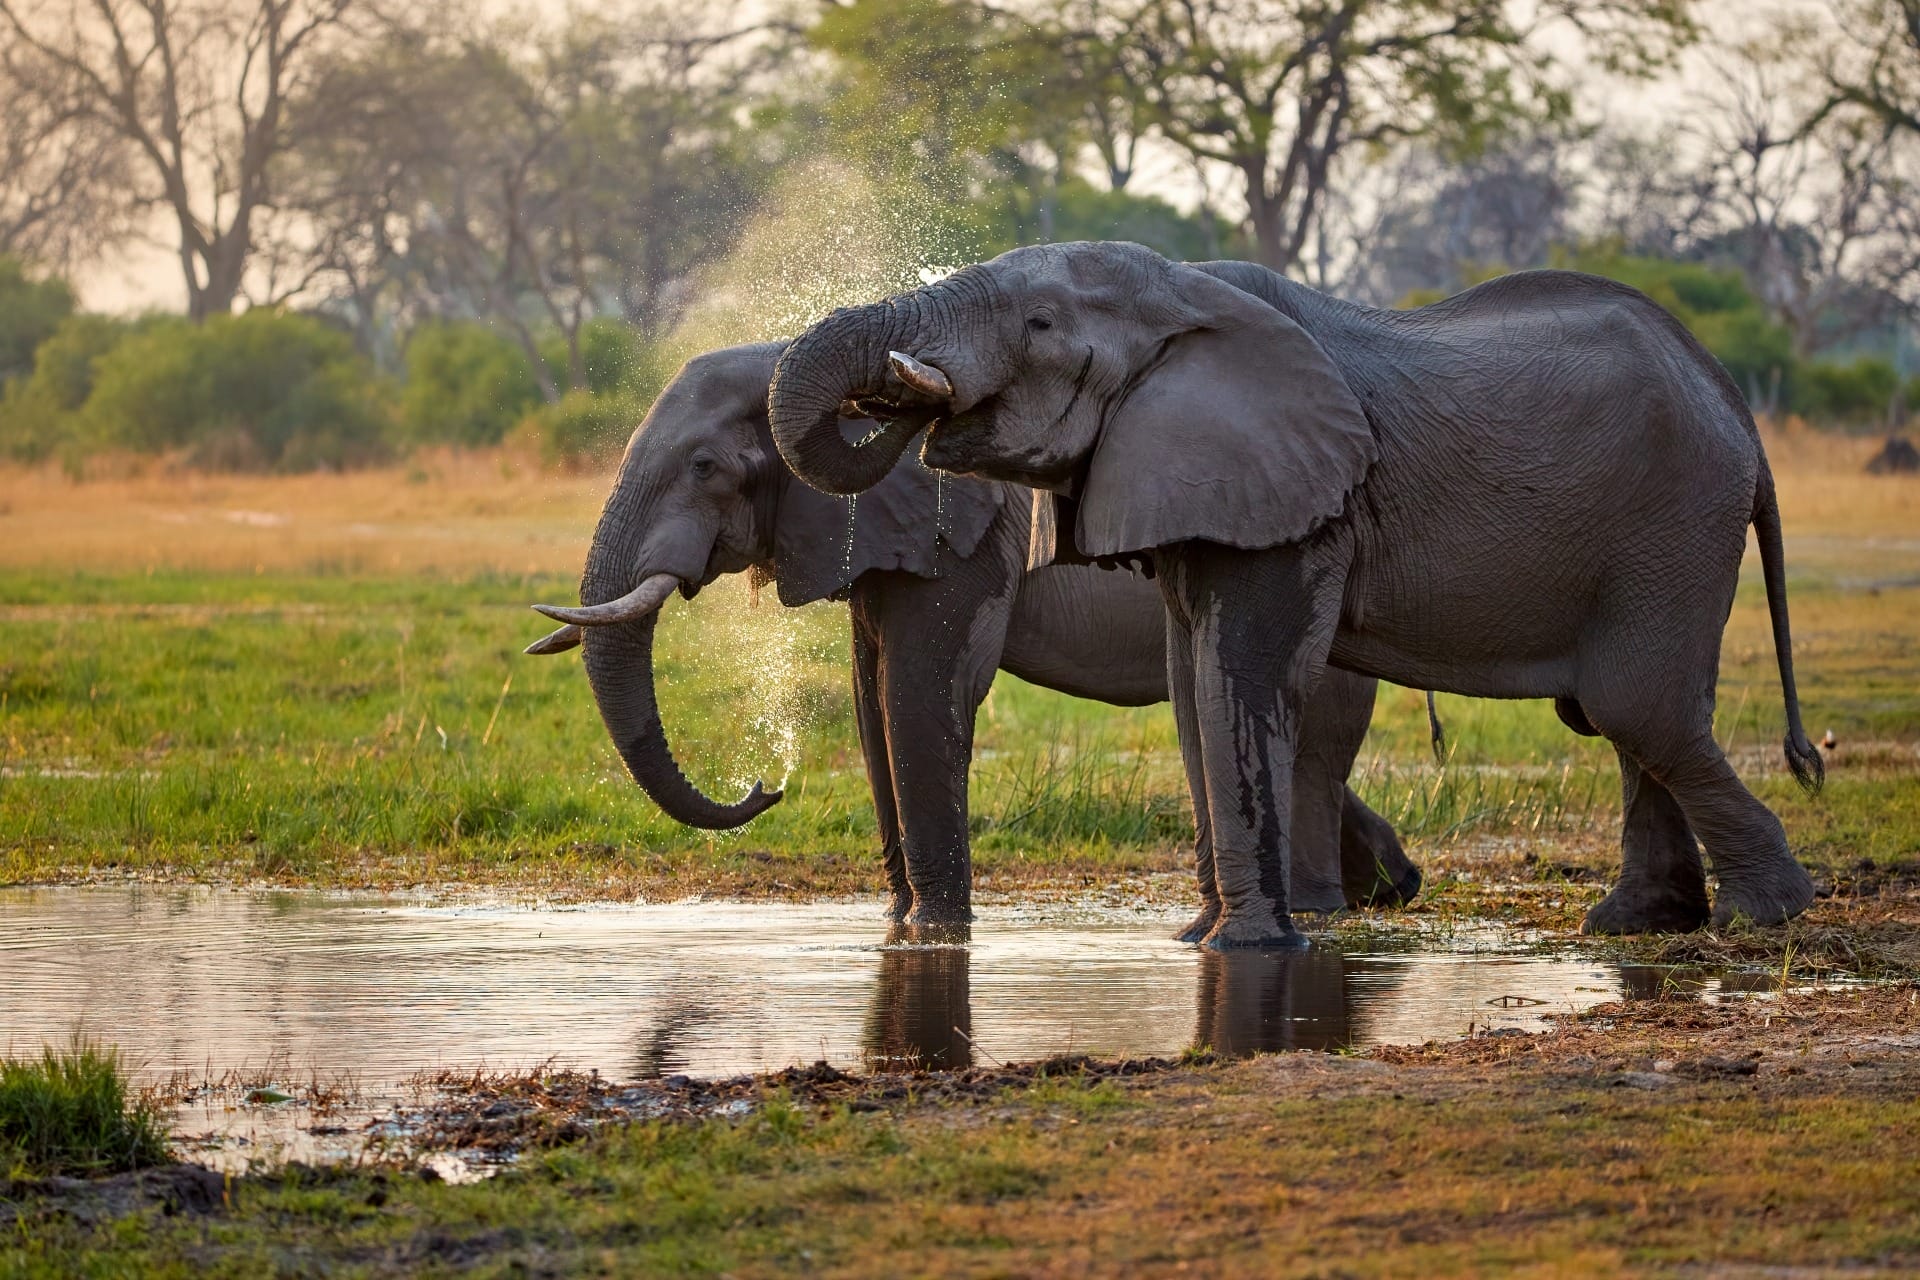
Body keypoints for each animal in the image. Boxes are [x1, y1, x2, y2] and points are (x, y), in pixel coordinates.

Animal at [525, 340, 1422, 929]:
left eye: (706, 467)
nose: (765, 786)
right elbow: (871, 702)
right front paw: (898, 922)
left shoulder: (963, 529)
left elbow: (922, 695)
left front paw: (935, 933)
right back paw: (1391, 887)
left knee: (1306, 741)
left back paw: (1323, 907)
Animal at [765, 243, 1825, 948]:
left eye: (1039, 326)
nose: (899, 395)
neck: (1184, 289)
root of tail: (1739, 409)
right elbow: (1191, 691)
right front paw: (1198, 941)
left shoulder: (1292, 501)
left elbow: (1237, 678)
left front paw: (1243, 952)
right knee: (1629, 722)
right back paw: (1636, 925)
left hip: (1672, 525)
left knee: (1638, 709)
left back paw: (1763, 917)